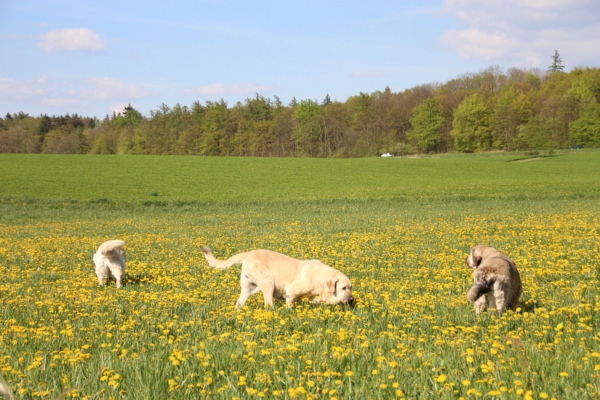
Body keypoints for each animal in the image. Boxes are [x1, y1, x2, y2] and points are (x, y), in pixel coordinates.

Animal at [202, 245, 354, 308]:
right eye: (343, 287)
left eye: (351, 287)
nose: (352, 300)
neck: (321, 279)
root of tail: (248, 253)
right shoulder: (291, 291)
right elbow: (290, 304)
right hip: (268, 282)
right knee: (268, 304)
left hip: (248, 288)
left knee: (239, 303)